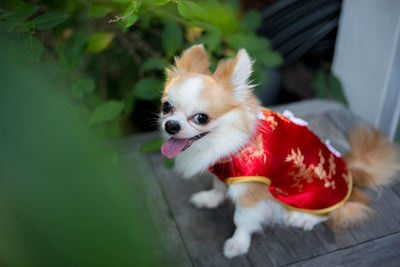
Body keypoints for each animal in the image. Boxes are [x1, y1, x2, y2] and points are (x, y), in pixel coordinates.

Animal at [158, 45, 398, 258]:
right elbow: (217, 187)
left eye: (201, 118)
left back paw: (305, 219)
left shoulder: (251, 190)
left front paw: (238, 244)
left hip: (312, 198)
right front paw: (209, 199)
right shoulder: (224, 172)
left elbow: (242, 219)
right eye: (166, 107)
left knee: (337, 212)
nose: (171, 125)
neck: (227, 138)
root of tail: (351, 172)